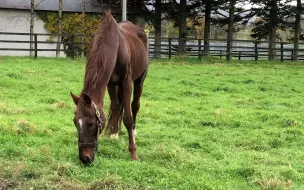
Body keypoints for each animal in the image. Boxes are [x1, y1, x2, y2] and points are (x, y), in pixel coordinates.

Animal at [70, 8, 148, 163]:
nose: (85, 158)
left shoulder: (126, 82)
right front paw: (113, 134)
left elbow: (128, 118)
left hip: (139, 81)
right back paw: (115, 132)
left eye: (91, 123)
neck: (114, 46)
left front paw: (133, 153)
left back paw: (134, 132)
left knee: (135, 106)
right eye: (75, 122)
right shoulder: (110, 83)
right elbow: (115, 107)